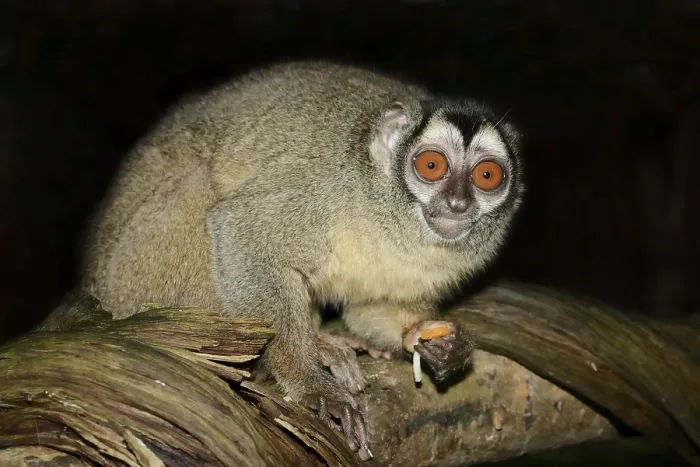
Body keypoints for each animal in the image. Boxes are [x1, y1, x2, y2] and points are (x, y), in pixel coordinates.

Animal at [79, 61, 525, 461]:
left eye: (487, 176)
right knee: (202, 187)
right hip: (134, 276)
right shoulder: (324, 189)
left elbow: (372, 308)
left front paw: (438, 344)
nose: (458, 203)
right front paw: (311, 384)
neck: (390, 214)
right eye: (431, 166)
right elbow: (241, 229)